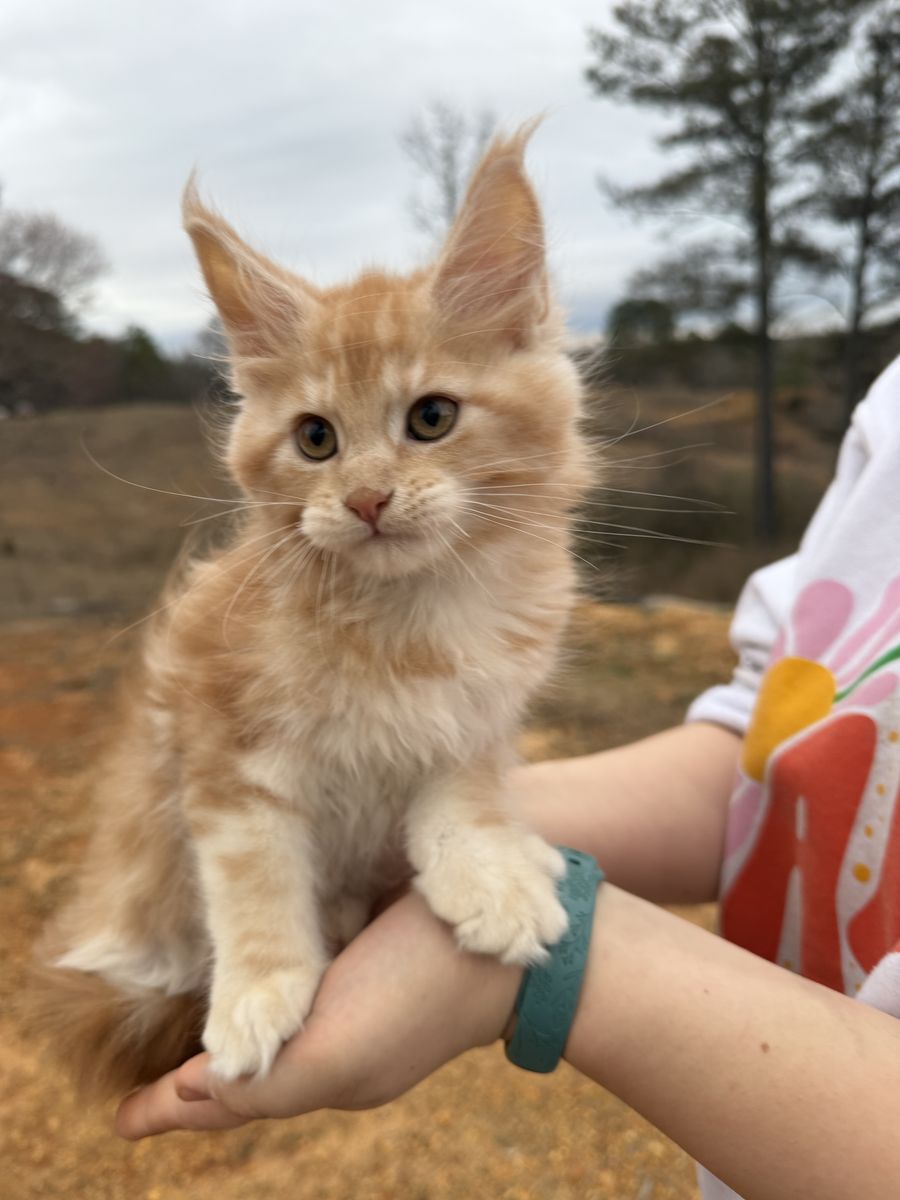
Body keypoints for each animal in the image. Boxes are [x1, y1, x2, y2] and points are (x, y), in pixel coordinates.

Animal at [29, 126, 591, 1096]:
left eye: (432, 417)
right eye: (315, 438)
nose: (366, 499)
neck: (406, 625)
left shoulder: (480, 711)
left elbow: (463, 792)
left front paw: (489, 873)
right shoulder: (223, 753)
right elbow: (254, 884)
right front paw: (259, 994)